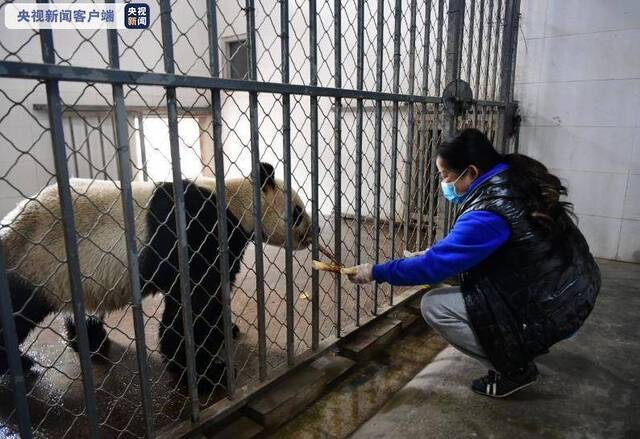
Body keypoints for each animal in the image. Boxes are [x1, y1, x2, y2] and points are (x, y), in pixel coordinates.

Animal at [0, 162, 312, 392]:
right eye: (298, 211)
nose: (313, 233)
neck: (234, 201)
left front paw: (226, 332)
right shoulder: (196, 234)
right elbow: (195, 303)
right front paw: (207, 372)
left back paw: (92, 342)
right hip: (32, 263)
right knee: (15, 315)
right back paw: (22, 363)